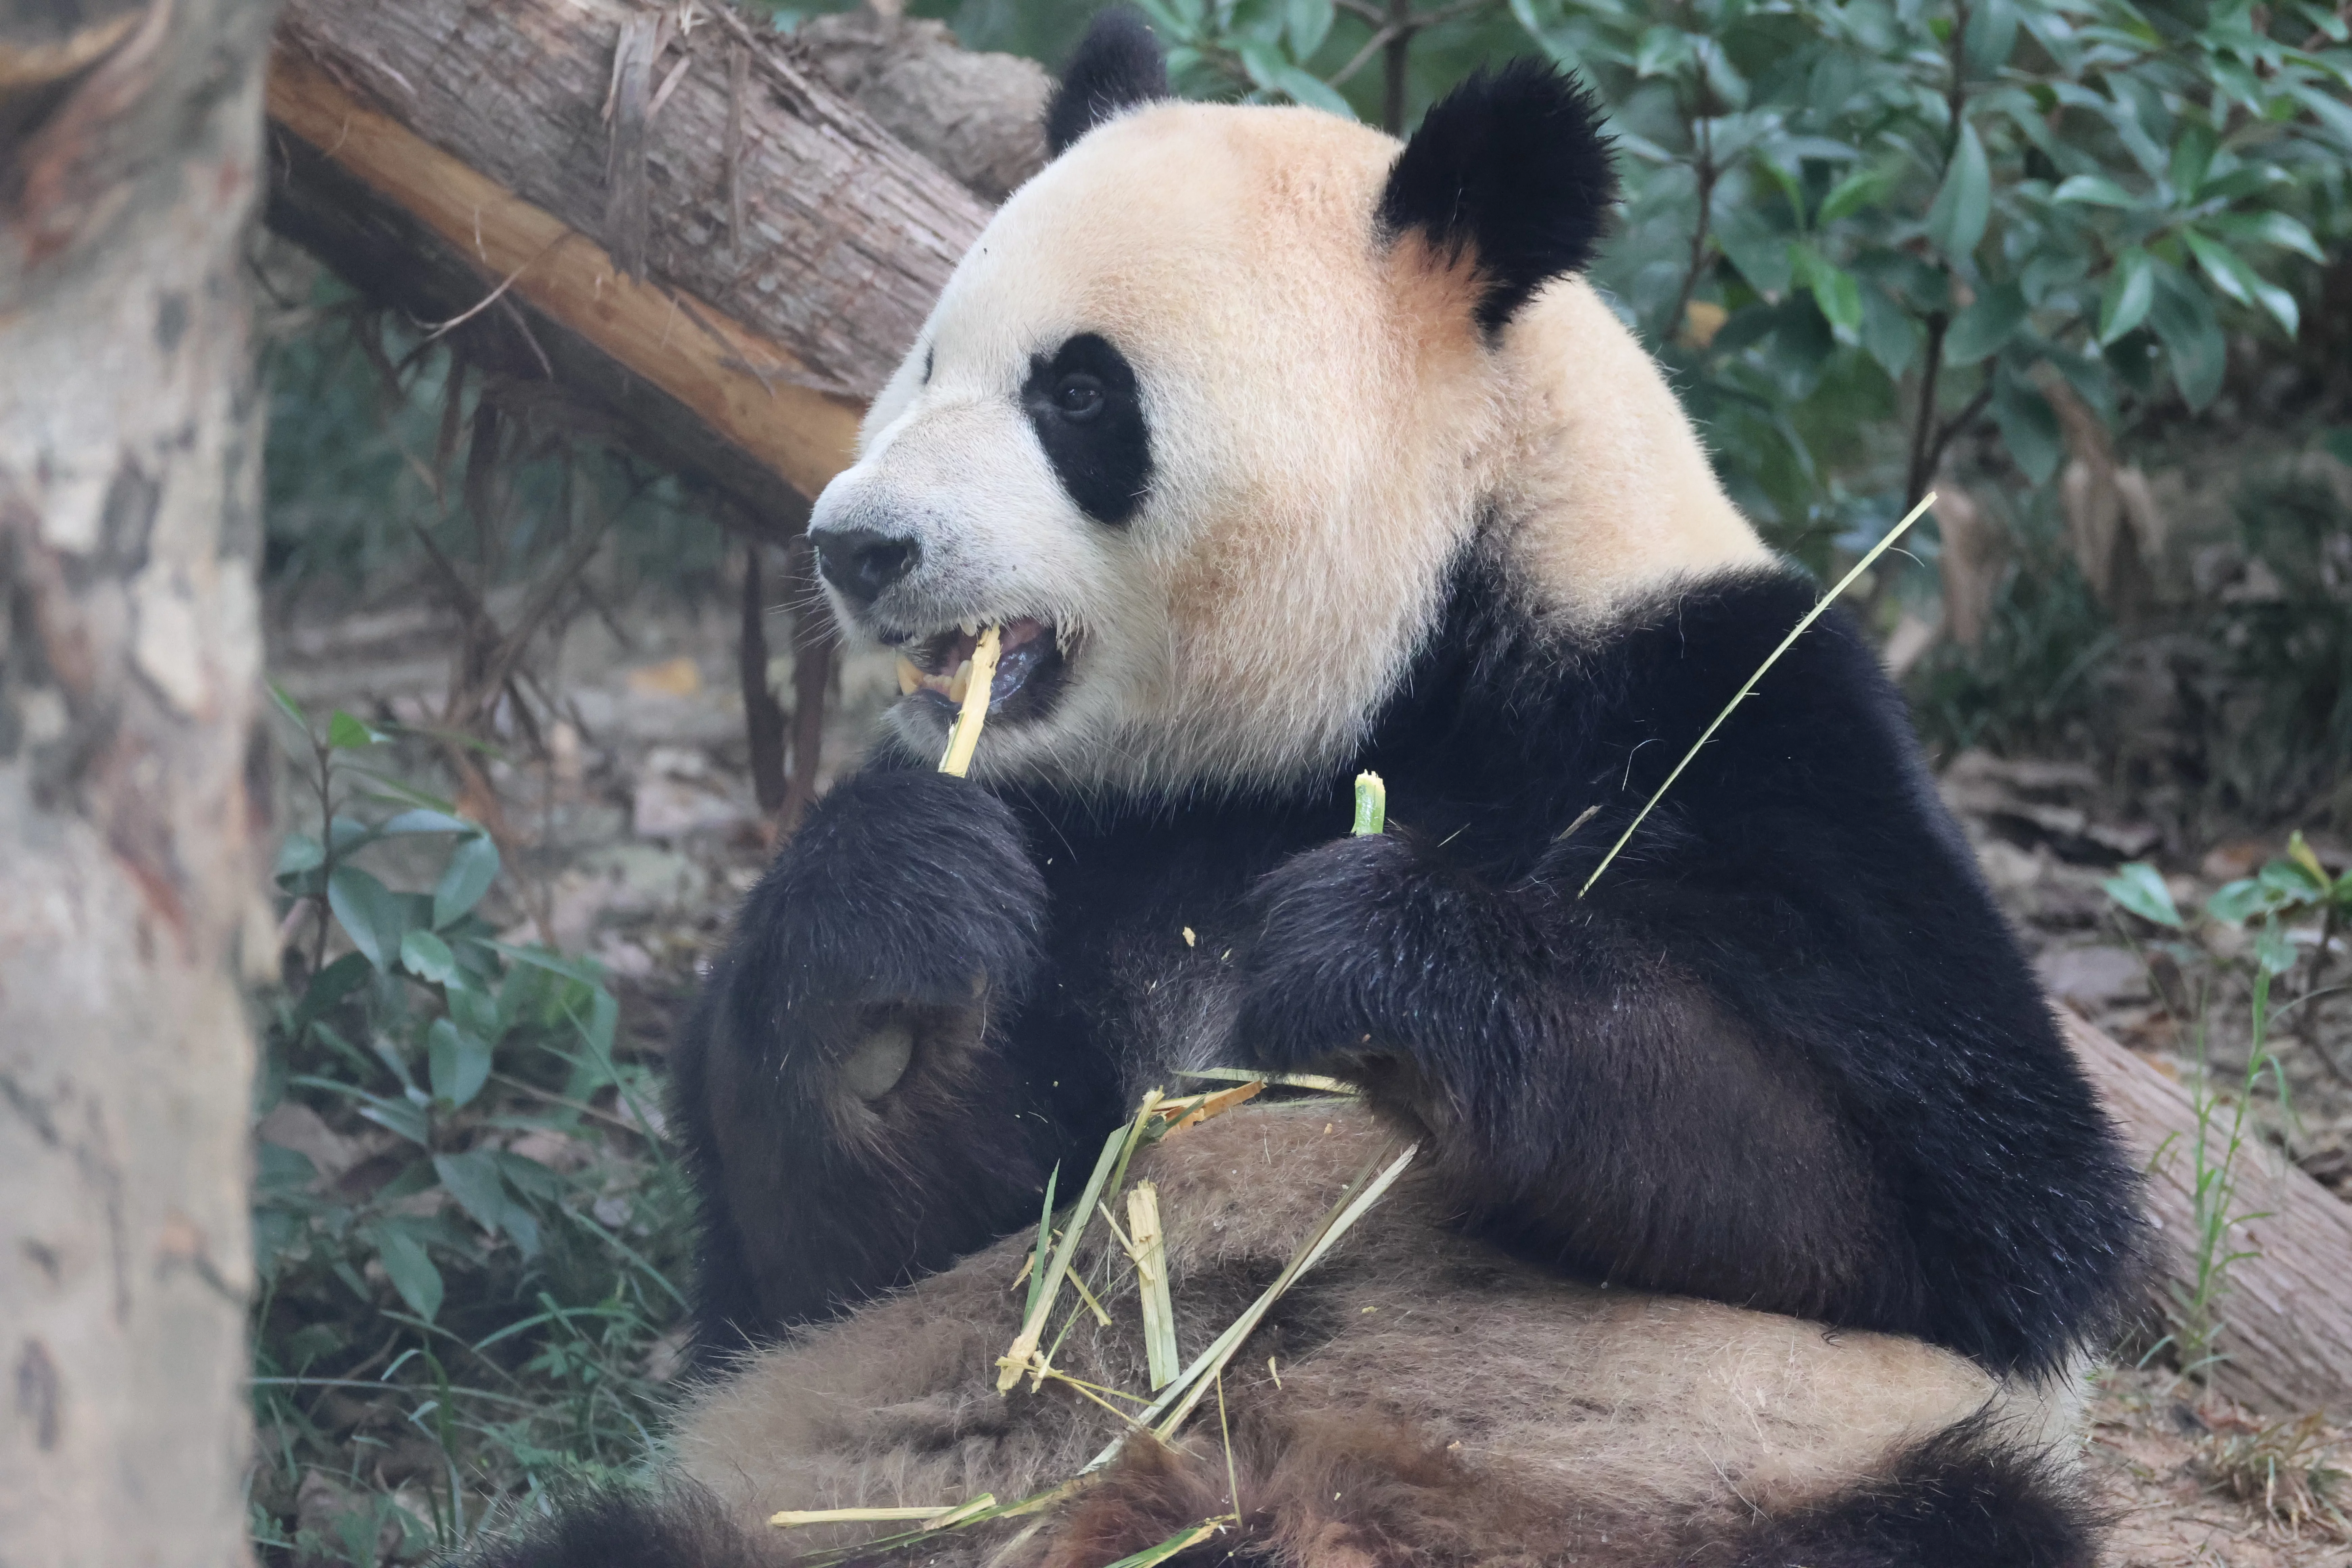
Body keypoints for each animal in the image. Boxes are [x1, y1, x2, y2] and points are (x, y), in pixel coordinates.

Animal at [473, 11, 2146, 1565]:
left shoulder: (1733, 715)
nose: (858, 546)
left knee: (1934, 1506)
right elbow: (850, 1246)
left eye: (1079, 395)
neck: (1387, 681)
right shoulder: (1092, 843)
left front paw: (1375, 958)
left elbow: (1976, 1204)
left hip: (1732, 1480)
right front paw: (899, 916)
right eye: (929, 362)